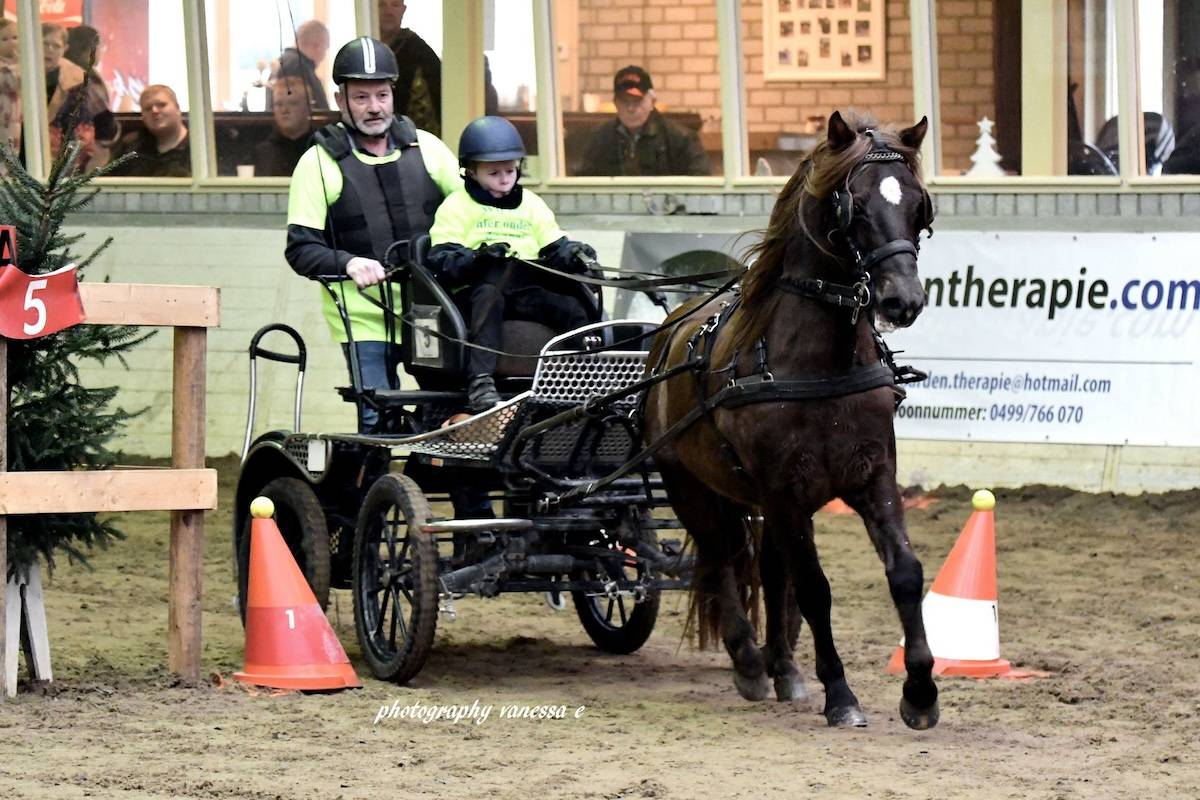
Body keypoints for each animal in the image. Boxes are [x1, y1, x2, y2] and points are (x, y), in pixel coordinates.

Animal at [643, 112, 940, 734]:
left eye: (917, 206)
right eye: (853, 205)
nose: (902, 301)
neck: (821, 363)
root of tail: (670, 329)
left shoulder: (871, 476)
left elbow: (904, 572)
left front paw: (921, 693)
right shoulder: (784, 489)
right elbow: (815, 589)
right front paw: (842, 696)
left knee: (766, 567)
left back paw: (782, 666)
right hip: (691, 488)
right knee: (719, 559)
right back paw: (749, 663)